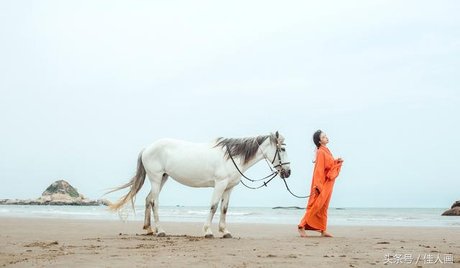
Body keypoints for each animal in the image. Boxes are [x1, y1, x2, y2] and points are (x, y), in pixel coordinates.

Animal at [107, 131, 292, 238]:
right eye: (282, 149)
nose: (288, 172)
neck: (231, 157)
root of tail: (147, 148)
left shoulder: (229, 187)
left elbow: (224, 209)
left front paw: (225, 232)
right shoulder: (220, 184)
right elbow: (213, 206)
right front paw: (208, 231)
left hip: (163, 178)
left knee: (147, 199)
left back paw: (149, 229)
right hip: (156, 178)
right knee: (154, 202)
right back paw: (161, 231)